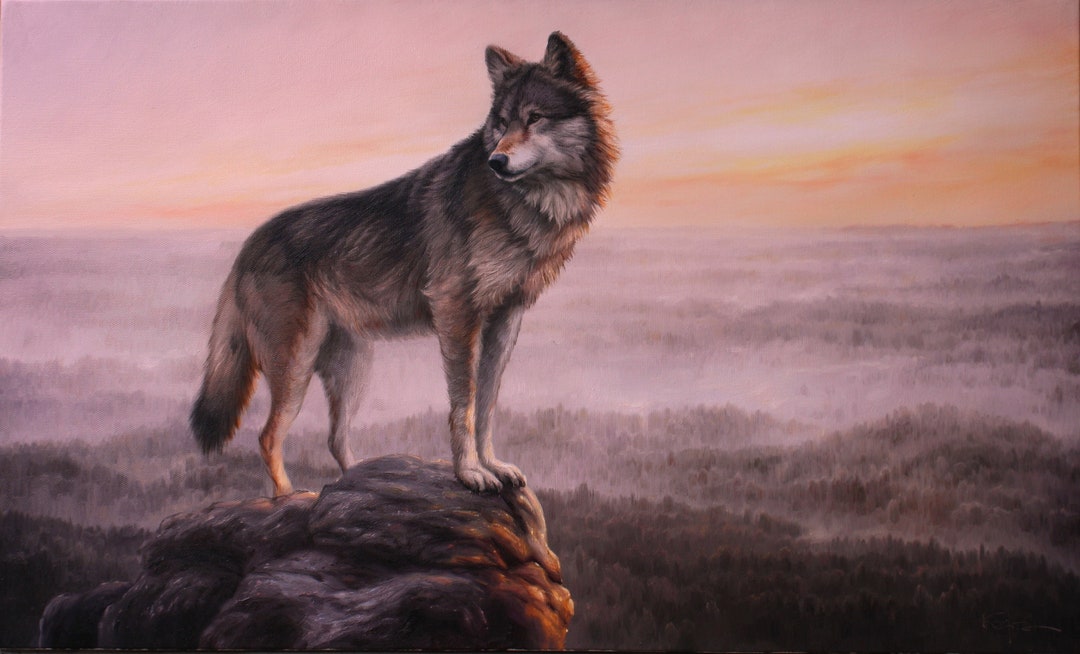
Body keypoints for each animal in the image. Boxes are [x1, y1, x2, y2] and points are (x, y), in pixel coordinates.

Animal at [190, 32, 617, 496]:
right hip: (296, 367)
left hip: (352, 370)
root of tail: (249, 244)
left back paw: (359, 480)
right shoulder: (456, 313)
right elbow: (463, 407)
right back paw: (289, 497)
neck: (528, 203)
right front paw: (471, 473)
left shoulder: (506, 319)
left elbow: (486, 405)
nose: (496, 162)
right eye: (502, 124)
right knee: (268, 437)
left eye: (534, 118)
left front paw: (493, 465)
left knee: (334, 438)